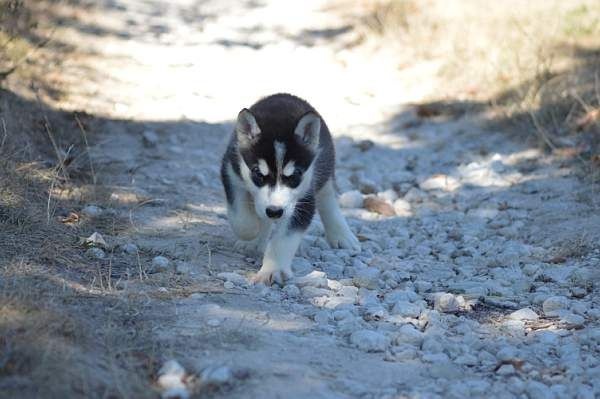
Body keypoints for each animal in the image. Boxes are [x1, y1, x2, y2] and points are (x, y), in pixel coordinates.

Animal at [221, 93, 358, 284]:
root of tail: (285, 95)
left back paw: (342, 235)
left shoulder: (305, 198)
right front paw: (253, 234)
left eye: (294, 176)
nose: (275, 211)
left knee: (328, 199)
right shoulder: (230, 171)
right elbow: (243, 221)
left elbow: (284, 239)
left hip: (324, 171)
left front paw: (273, 270)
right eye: (258, 173)